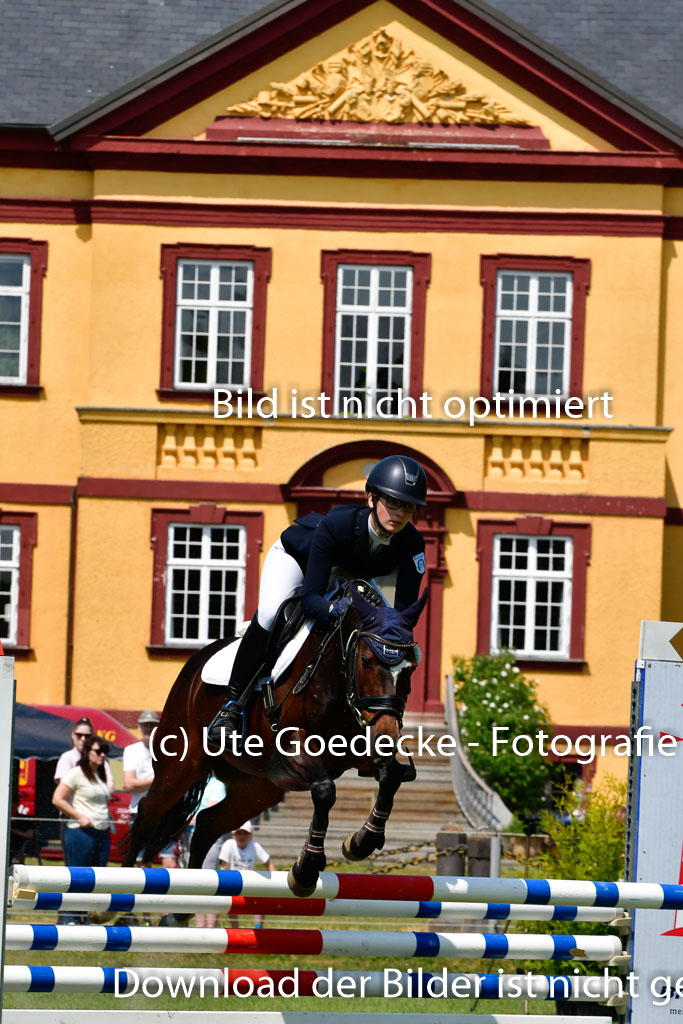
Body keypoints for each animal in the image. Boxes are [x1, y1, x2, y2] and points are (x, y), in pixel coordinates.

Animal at [125, 585, 428, 897]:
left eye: (411, 667)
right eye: (366, 660)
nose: (388, 735)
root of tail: (192, 667)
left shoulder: (361, 750)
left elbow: (391, 777)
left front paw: (360, 842)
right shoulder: (294, 748)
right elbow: (324, 791)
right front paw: (306, 869)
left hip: (256, 788)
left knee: (208, 825)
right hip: (179, 767)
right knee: (147, 813)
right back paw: (123, 886)